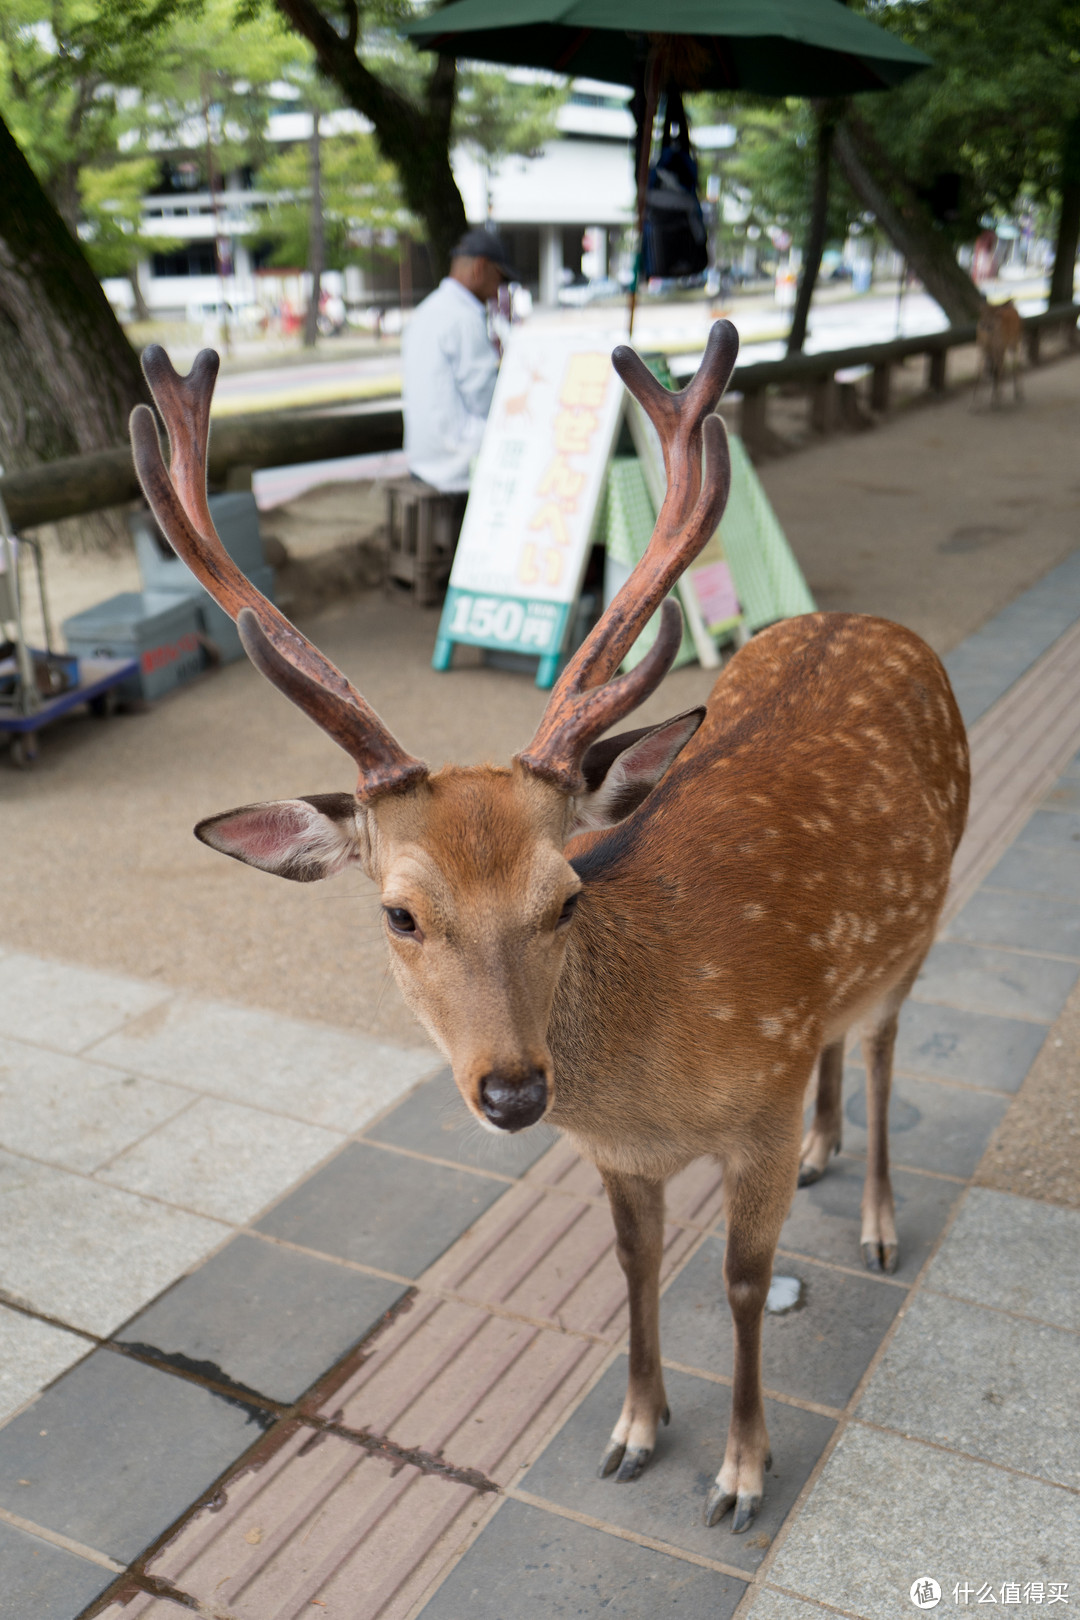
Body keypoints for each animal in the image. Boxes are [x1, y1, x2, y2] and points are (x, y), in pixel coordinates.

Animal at [132, 325, 971, 1529]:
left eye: (564, 895)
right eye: (399, 912)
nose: (517, 1092)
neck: (656, 1090)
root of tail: (871, 621)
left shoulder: (755, 1110)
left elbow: (743, 1281)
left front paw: (741, 1472)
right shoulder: (618, 1153)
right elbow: (631, 1265)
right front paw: (634, 1430)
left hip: (924, 924)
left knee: (884, 1047)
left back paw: (878, 1219)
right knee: (839, 1044)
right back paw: (827, 1151)